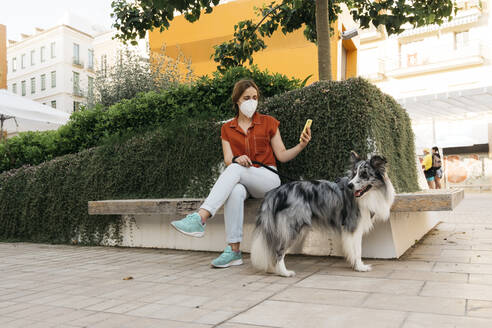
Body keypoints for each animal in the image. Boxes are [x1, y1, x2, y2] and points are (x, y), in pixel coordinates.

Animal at [250, 152, 396, 276]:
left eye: (364, 174)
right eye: (355, 174)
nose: (350, 185)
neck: (368, 195)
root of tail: (275, 192)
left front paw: (356, 265)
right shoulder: (353, 226)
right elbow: (357, 250)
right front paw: (360, 267)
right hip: (291, 228)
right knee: (278, 251)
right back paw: (284, 272)